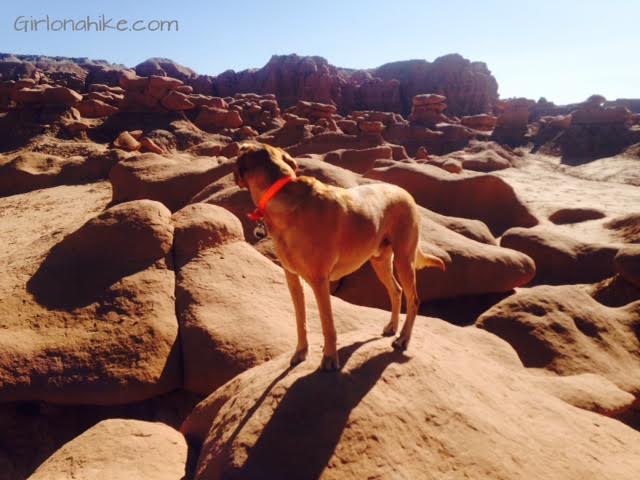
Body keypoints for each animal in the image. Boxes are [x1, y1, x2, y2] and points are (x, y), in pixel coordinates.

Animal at [231, 142, 444, 372]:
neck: (280, 194)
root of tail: (407, 193)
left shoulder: (319, 281)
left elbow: (328, 324)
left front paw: (330, 358)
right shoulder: (293, 278)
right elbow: (300, 320)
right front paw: (301, 352)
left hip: (404, 259)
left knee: (414, 299)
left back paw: (403, 339)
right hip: (380, 260)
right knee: (396, 291)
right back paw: (392, 327)